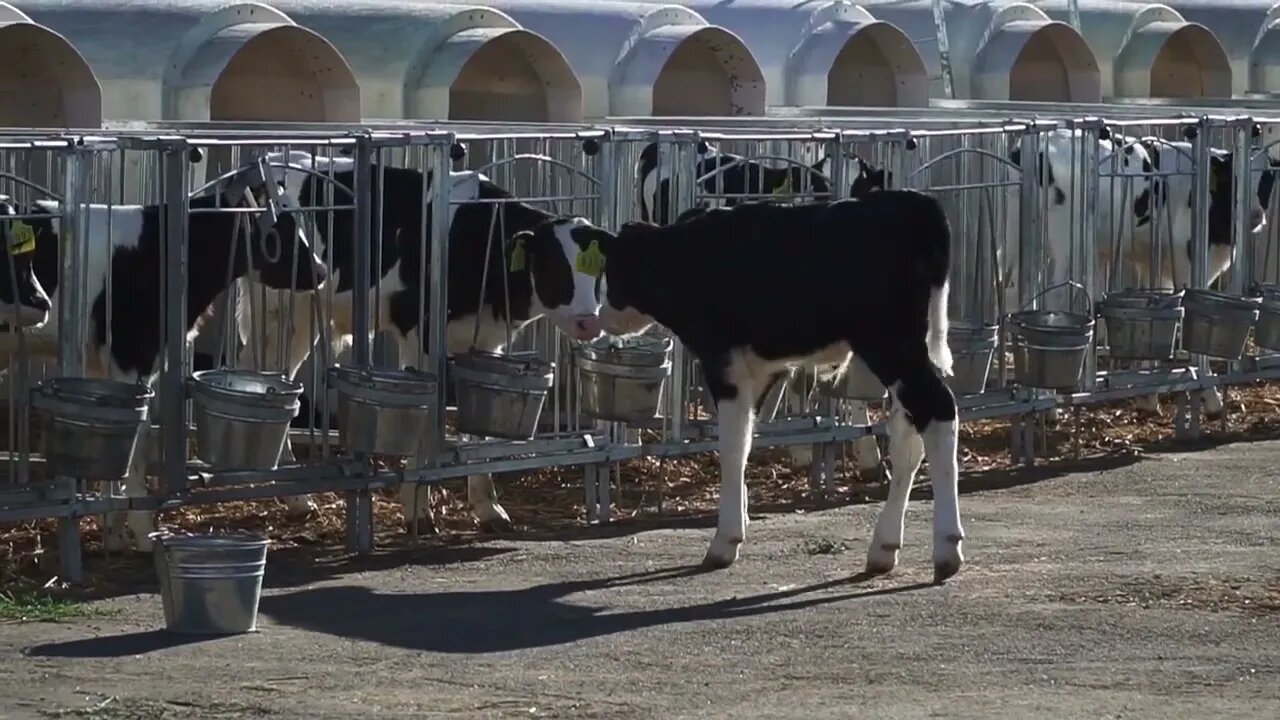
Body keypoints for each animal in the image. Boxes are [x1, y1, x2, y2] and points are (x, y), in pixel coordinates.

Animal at [0, 183, 327, 548]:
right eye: (279, 227)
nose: (321, 271)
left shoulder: (102, 363)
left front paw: (112, 525)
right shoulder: (132, 354)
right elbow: (138, 439)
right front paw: (143, 528)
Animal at [235, 151, 604, 530]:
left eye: (598, 269)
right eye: (553, 266)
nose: (589, 322)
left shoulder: (487, 342)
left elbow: (481, 433)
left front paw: (488, 507)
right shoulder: (417, 332)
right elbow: (426, 422)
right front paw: (417, 510)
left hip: (300, 318)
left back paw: (290, 494)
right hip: (282, 309)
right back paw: (290, 491)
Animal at [535, 193, 962, 579]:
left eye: (608, 272)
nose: (596, 318)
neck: (679, 255)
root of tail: (911, 202)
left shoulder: (722, 363)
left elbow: (730, 446)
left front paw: (725, 540)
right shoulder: (757, 369)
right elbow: (745, 439)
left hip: (889, 344)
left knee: (939, 411)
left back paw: (947, 547)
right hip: (906, 352)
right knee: (908, 437)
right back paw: (885, 547)